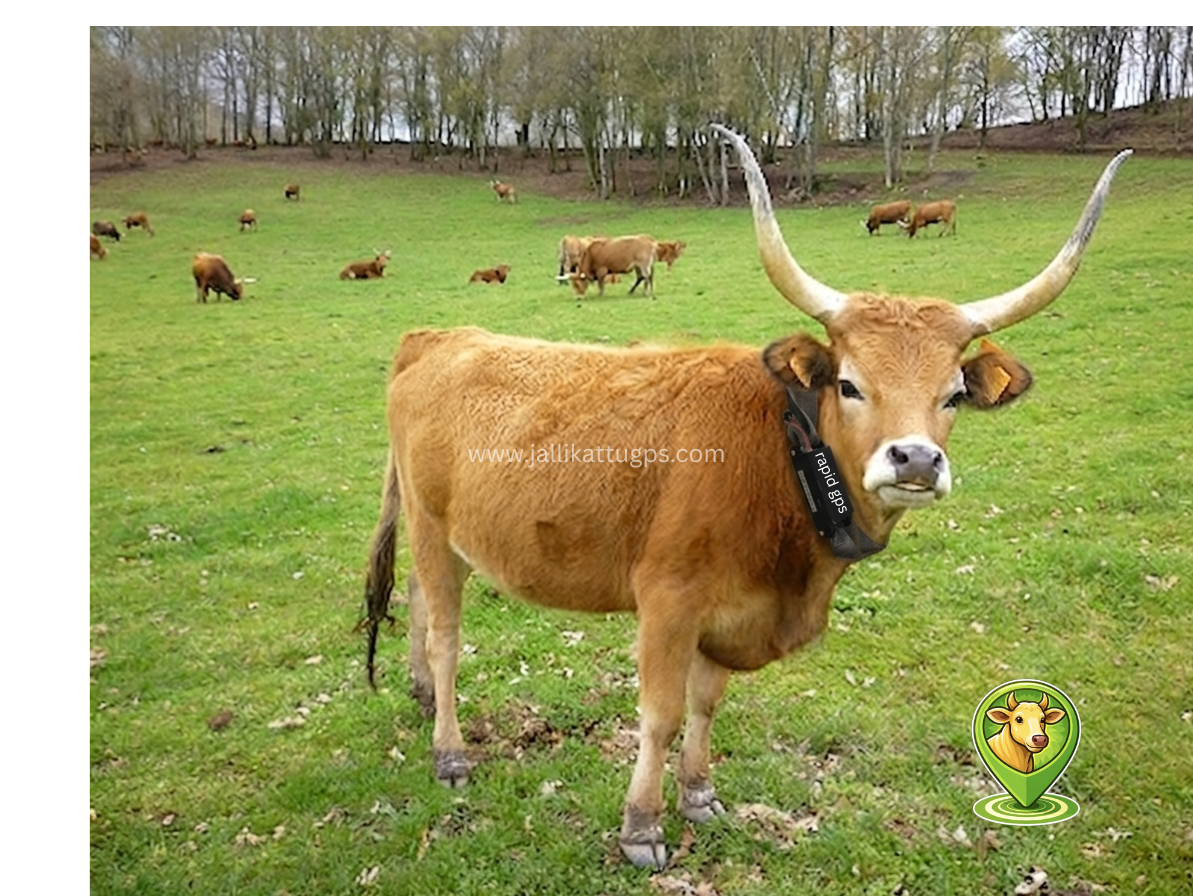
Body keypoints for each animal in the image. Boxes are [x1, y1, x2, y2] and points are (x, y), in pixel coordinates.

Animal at [361, 125, 1129, 868]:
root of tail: (438, 337)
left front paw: (699, 795)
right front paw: (641, 827)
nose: (914, 459)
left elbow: (705, 706)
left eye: (953, 396)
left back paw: (421, 697)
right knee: (446, 636)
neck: (782, 465)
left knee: (420, 605)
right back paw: (449, 751)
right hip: (430, 526)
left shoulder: (726, 616)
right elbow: (661, 715)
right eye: (848, 384)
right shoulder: (667, 601)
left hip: (449, 537)